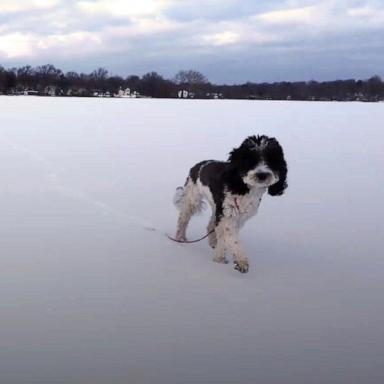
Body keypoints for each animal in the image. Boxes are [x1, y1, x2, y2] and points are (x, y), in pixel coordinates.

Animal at [172, 135, 286, 272]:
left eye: (272, 160)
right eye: (250, 160)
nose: (262, 174)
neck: (244, 188)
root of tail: (198, 165)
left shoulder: (239, 217)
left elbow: (225, 237)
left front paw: (219, 259)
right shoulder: (228, 215)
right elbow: (232, 238)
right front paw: (240, 260)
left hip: (215, 206)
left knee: (211, 226)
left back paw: (212, 242)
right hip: (192, 198)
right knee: (183, 219)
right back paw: (180, 238)